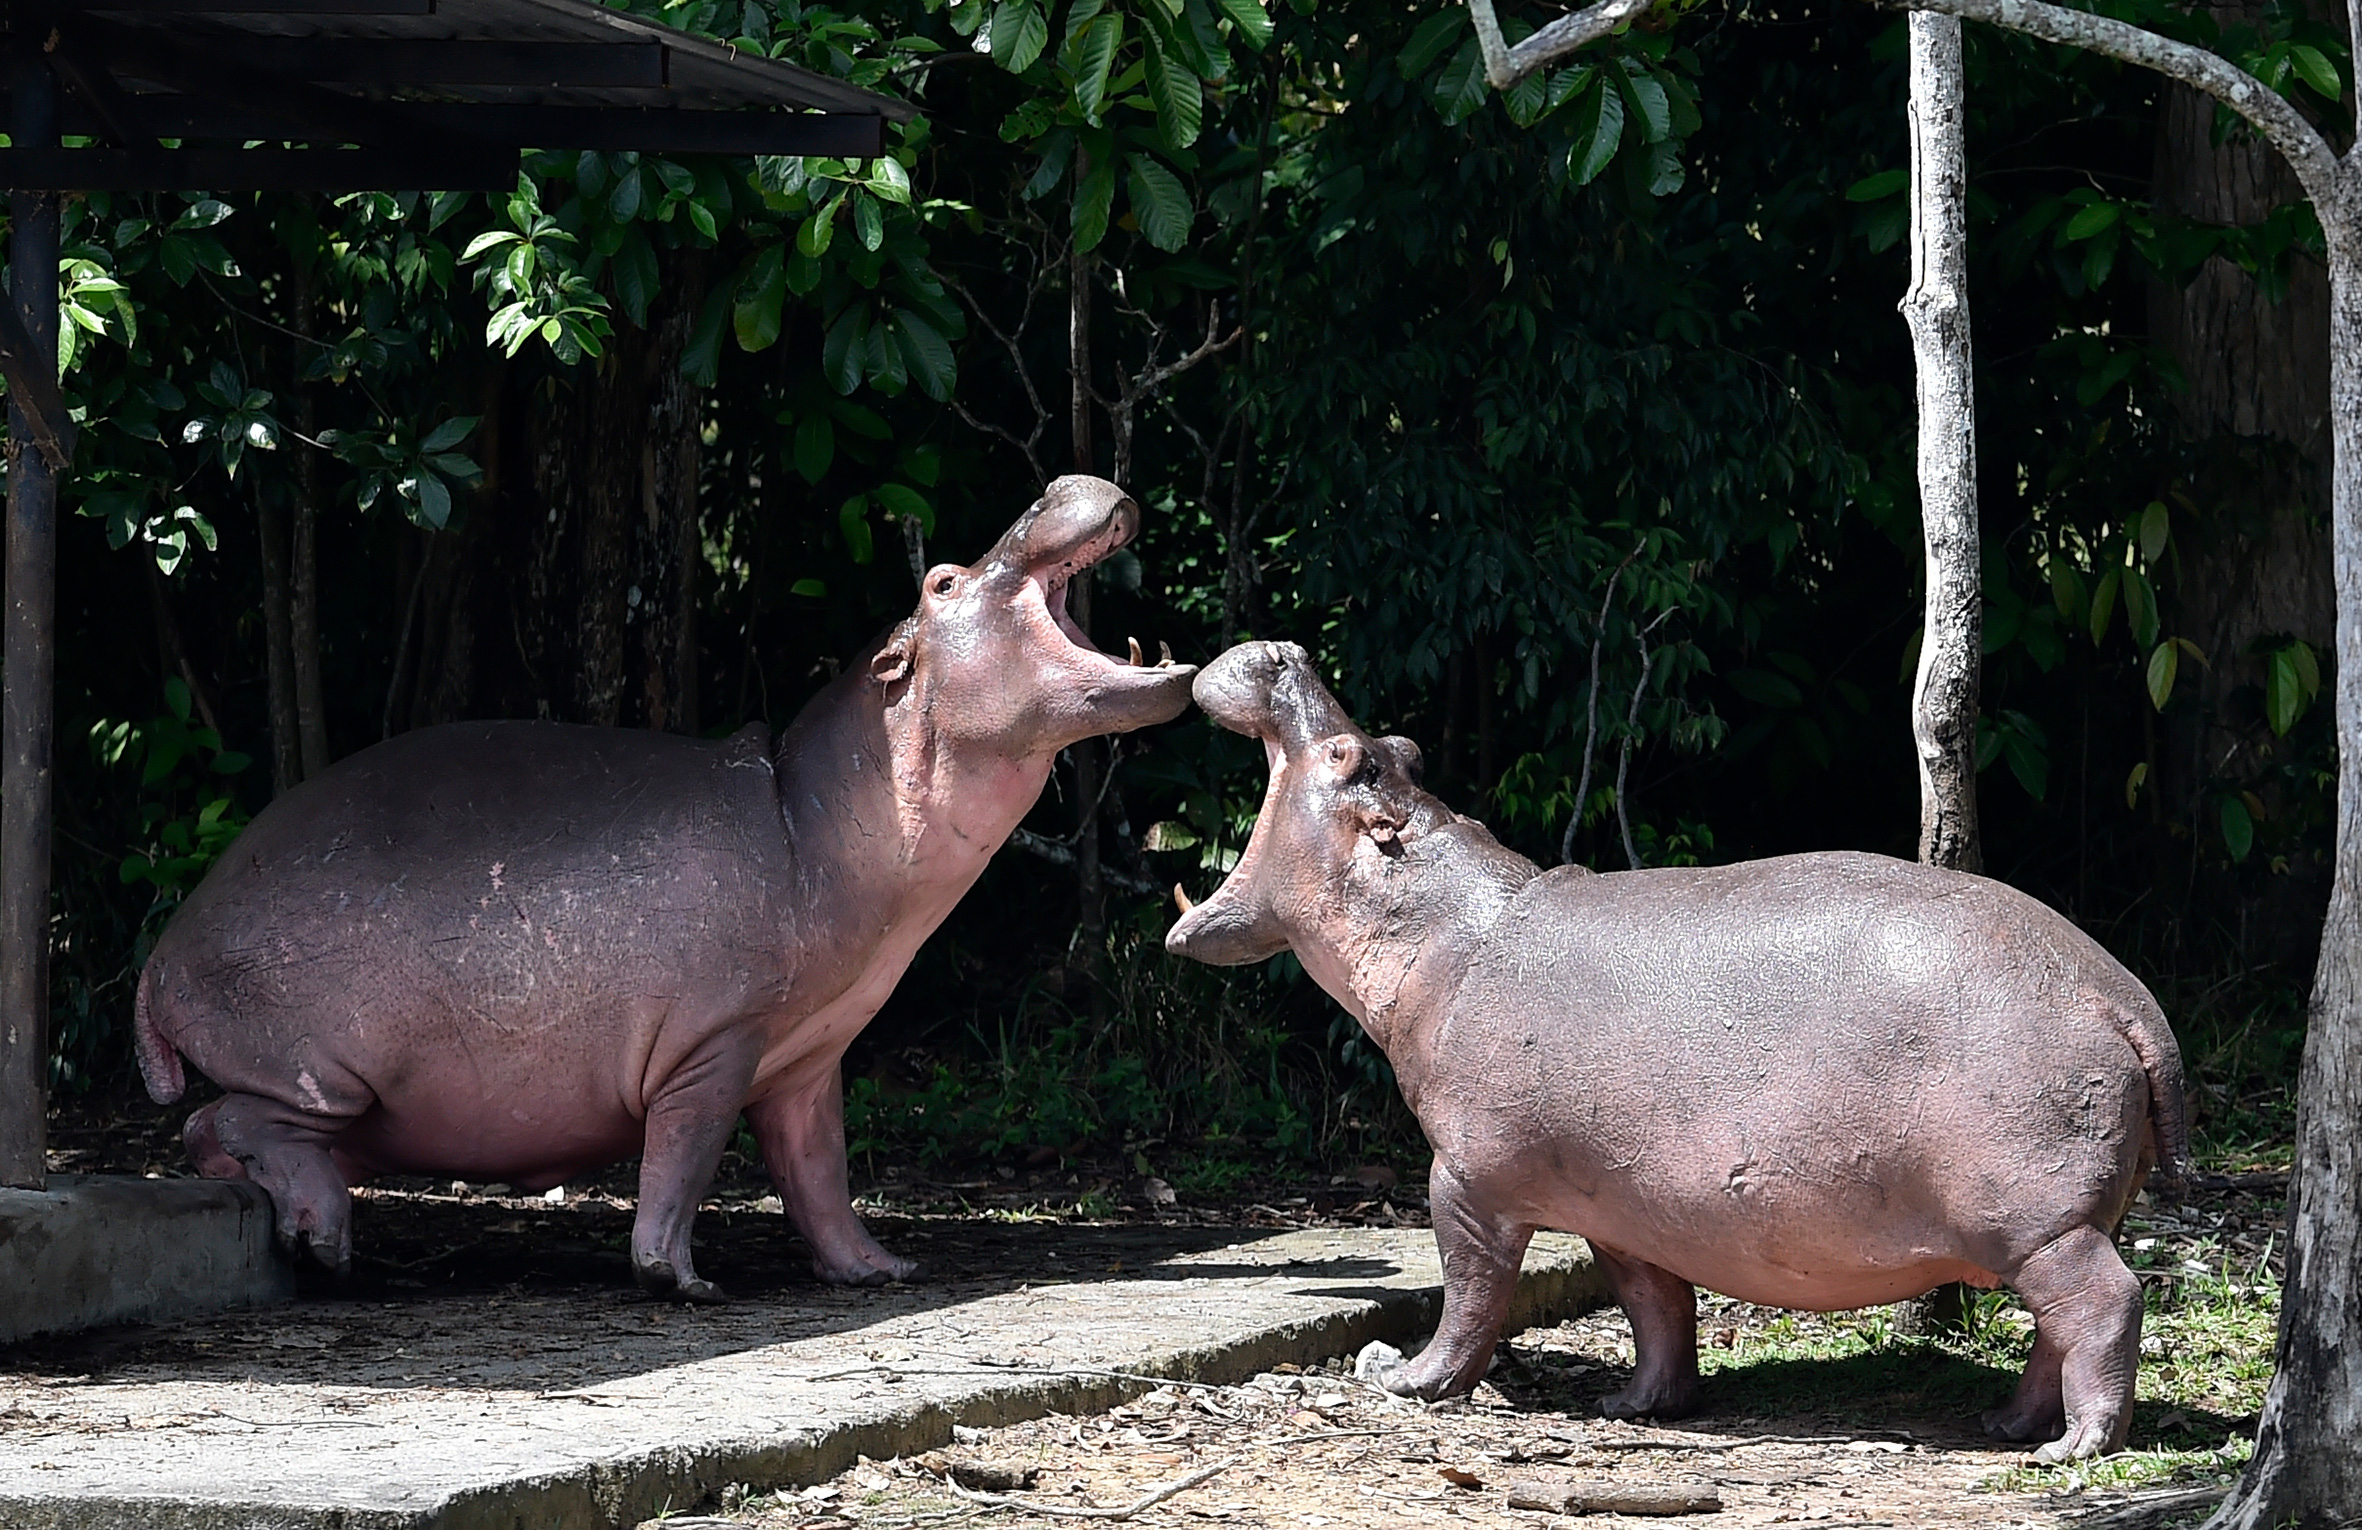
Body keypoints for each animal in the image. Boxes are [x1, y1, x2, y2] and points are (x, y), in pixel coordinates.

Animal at [138, 476, 1190, 1303]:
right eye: (941, 582)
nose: (1059, 481)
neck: (812, 809)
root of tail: (160, 957)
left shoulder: (809, 1055)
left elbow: (821, 1174)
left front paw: (881, 1271)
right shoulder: (712, 1045)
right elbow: (682, 1162)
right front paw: (682, 1282)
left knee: (211, 1129)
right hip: (325, 1073)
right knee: (229, 1121)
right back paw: (326, 1242)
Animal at [1171, 637, 2182, 1463]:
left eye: (1351, 757)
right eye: (1399, 749)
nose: (1283, 650)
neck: (1442, 926)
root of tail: (2124, 994)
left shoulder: (1466, 1179)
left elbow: (1470, 1293)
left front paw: (1402, 1376)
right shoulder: (1619, 1208)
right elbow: (1654, 1307)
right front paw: (1637, 1406)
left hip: (2040, 1221)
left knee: (2104, 1304)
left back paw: (2072, 1448)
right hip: (2054, 1221)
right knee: (2056, 1326)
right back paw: (2009, 1425)